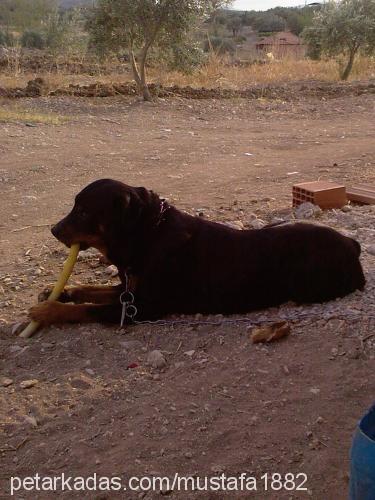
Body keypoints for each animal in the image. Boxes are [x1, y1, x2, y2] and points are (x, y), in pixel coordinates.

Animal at [30, 178, 368, 326]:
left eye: (84, 212)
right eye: (75, 207)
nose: (54, 230)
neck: (149, 234)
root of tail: (351, 244)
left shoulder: (146, 306)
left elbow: (88, 309)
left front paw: (48, 311)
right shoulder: (129, 291)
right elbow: (92, 290)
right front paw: (61, 291)